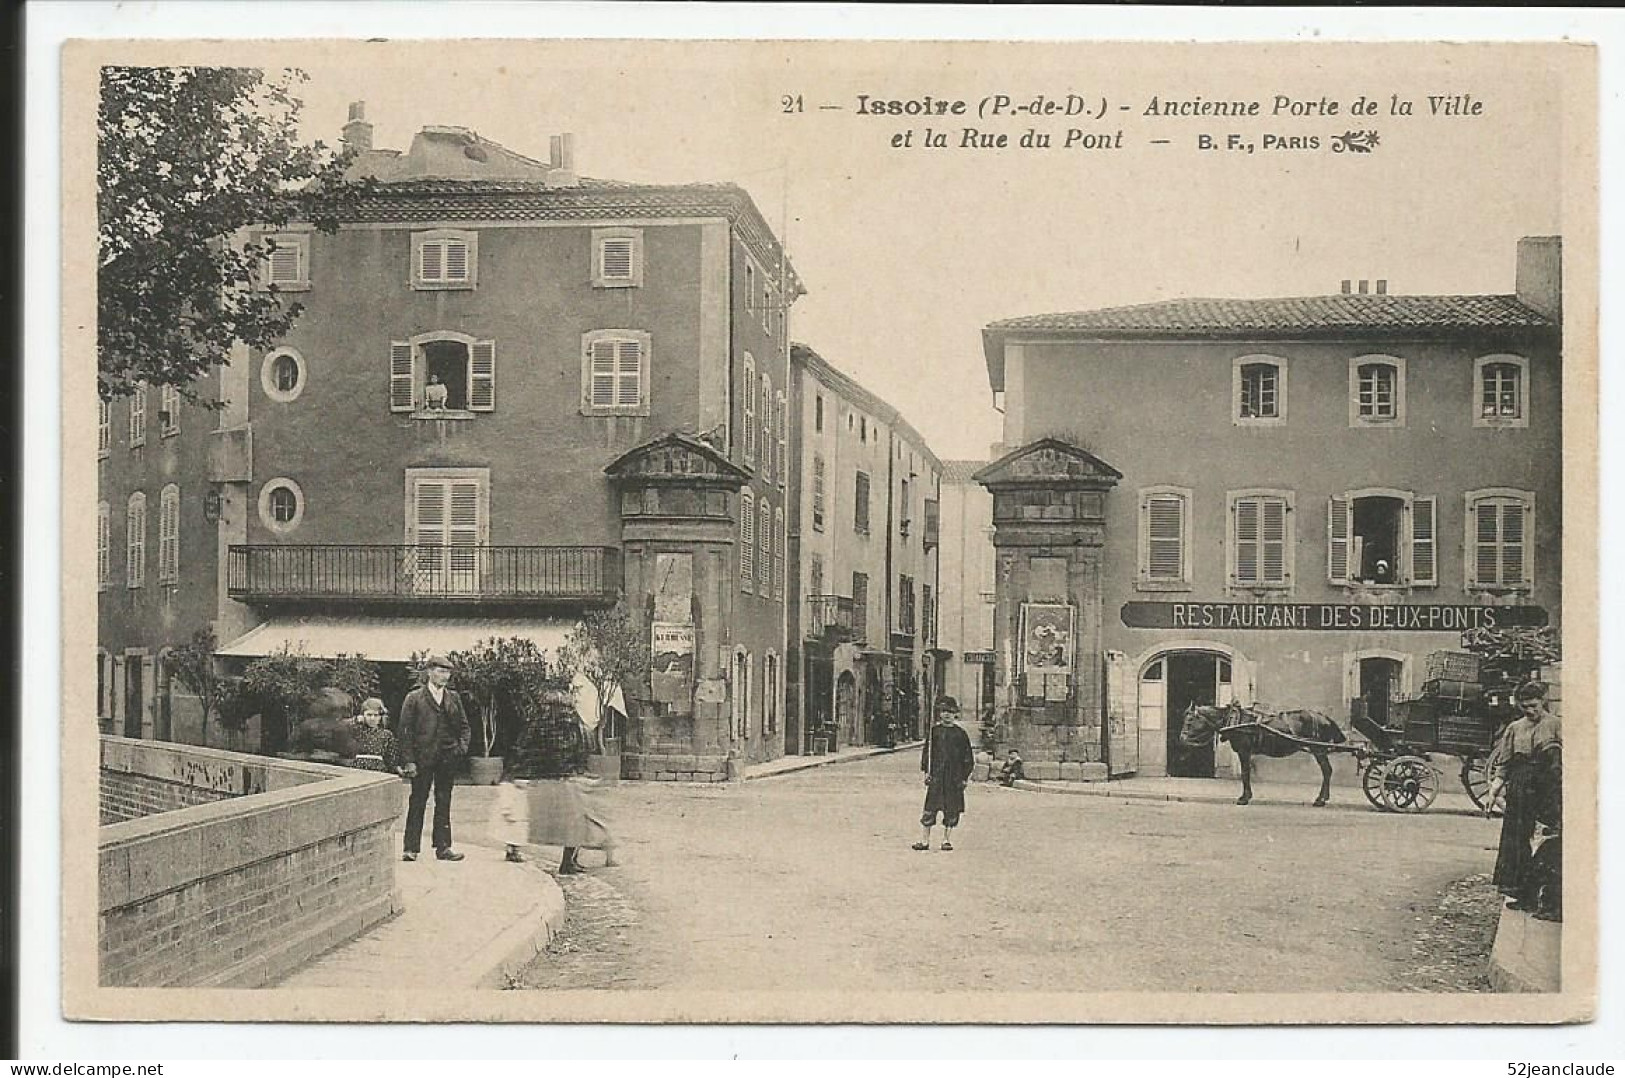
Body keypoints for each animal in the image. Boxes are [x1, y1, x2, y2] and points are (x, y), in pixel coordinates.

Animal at [1183, 705, 1345, 806]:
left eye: (1190, 721)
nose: (1181, 738)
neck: (1236, 720)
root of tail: (1325, 718)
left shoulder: (1244, 751)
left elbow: (1245, 774)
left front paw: (1244, 798)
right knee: (1327, 771)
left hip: (1318, 749)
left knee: (1326, 771)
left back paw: (1320, 799)